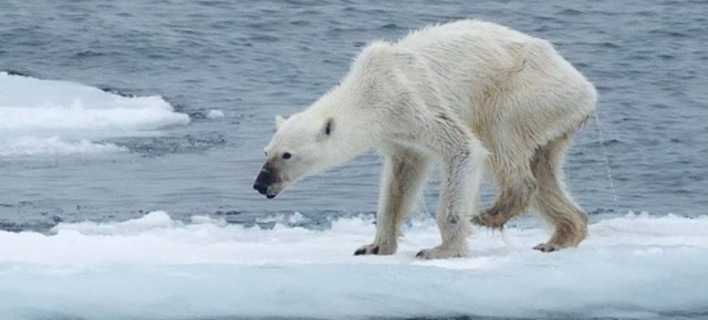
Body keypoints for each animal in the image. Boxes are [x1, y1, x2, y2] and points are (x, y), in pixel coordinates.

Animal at [252, 20, 596, 258]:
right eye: (266, 151)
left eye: (287, 155)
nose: (260, 184)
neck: (370, 90)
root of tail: (586, 88)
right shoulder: (397, 134)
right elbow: (401, 179)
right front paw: (374, 246)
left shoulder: (411, 101)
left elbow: (463, 149)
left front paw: (440, 250)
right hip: (553, 116)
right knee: (543, 170)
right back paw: (561, 236)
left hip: (527, 91)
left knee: (500, 134)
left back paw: (492, 212)